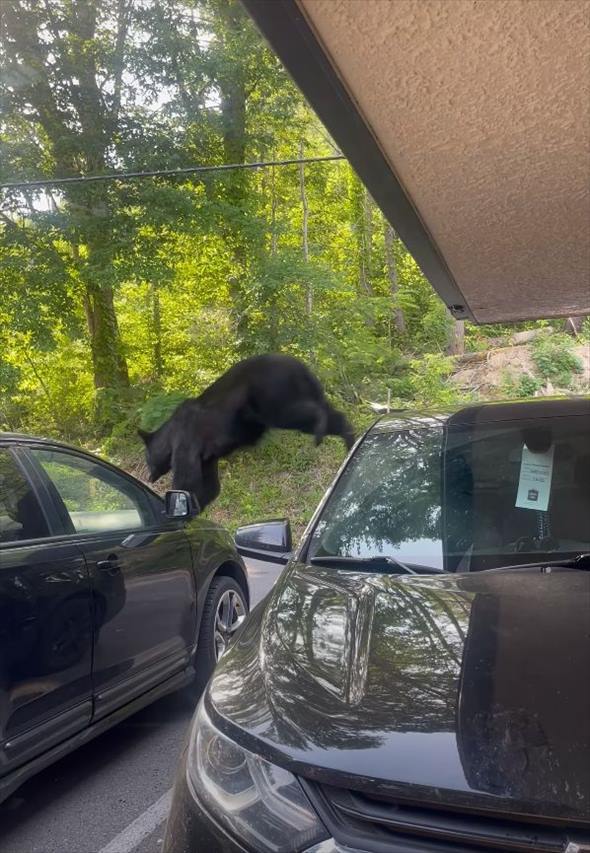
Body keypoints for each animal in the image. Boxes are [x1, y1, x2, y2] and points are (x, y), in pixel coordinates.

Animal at [140, 354, 356, 512]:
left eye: (147, 459)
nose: (149, 477)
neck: (170, 436)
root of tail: (299, 366)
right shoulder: (207, 457)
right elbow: (209, 485)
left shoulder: (187, 440)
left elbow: (187, 477)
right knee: (331, 414)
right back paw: (349, 438)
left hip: (272, 395)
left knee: (301, 413)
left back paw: (321, 431)